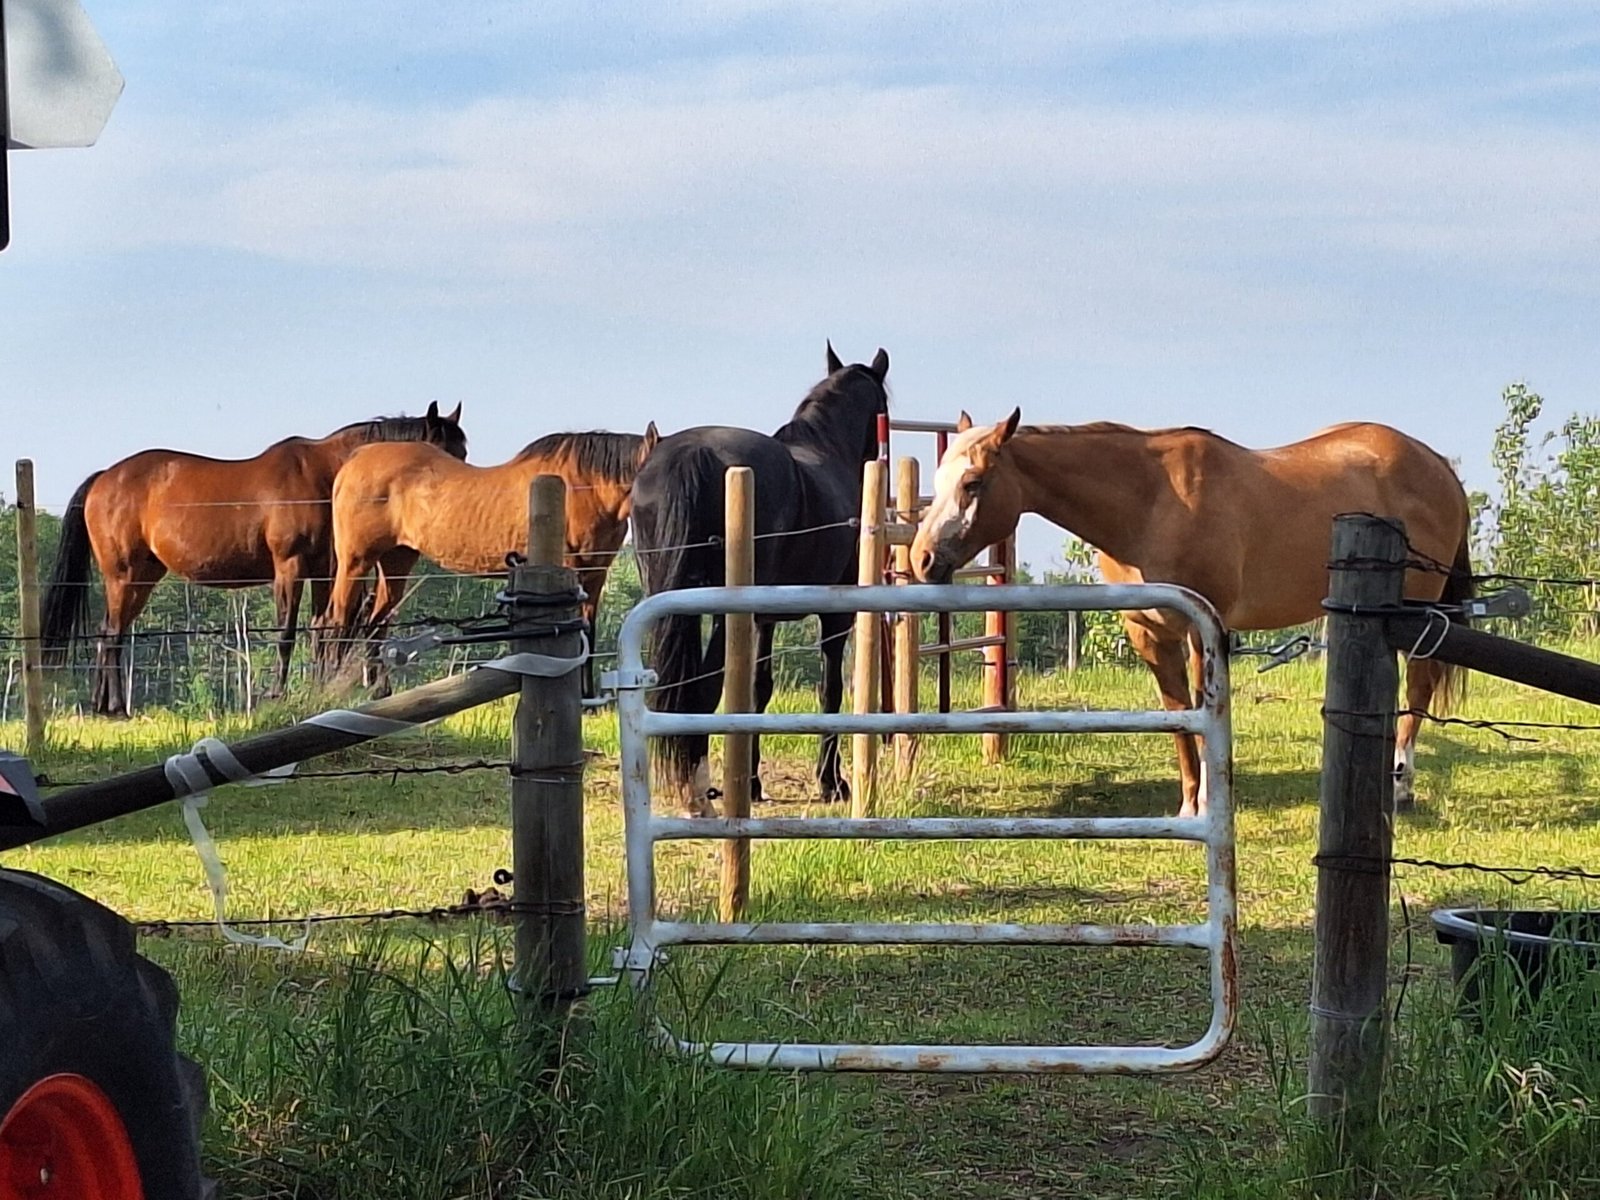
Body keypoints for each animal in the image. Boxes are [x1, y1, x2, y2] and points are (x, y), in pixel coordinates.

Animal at [39, 403, 469, 716]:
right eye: (443, 453)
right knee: (112, 634)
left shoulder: (324, 572)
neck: (327, 477)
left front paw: (317, 689)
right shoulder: (289, 567)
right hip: (123, 574)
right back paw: (115, 707)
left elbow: (321, 630)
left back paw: (103, 705)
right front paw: (277, 694)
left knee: (108, 633)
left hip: (143, 576)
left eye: (463, 451)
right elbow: (287, 633)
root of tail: (104, 478)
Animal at [321, 426, 659, 698]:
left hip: (395, 562)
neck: (583, 489)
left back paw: (379, 691)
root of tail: (355, 460)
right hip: (355, 562)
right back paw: (329, 687)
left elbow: (588, 633)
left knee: (375, 624)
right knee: (338, 620)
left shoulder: (594, 576)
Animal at [629, 342, 891, 816]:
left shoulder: (763, 619)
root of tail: (692, 456)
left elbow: (758, 689)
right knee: (706, 686)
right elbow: (830, 687)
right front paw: (832, 782)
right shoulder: (835, 616)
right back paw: (699, 794)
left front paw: (751, 782)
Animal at [910, 411, 1473, 816]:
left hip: (1419, 607)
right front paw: (1187, 806)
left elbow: (1204, 715)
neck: (1151, 502)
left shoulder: (1205, 630)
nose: (922, 559)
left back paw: (1401, 789)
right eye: (940, 479)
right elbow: (1179, 718)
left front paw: (1208, 801)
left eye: (974, 482)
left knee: (1419, 686)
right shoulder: (1152, 635)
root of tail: (1437, 465)